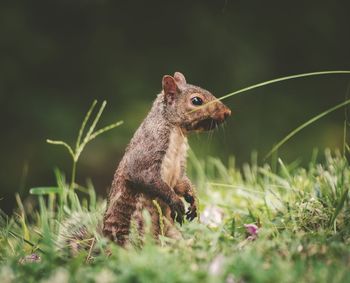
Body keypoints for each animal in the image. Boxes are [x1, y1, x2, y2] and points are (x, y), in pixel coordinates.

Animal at [102, 72, 231, 246]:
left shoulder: (180, 165)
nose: (227, 112)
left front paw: (194, 201)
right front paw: (176, 202)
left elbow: (181, 182)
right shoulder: (148, 149)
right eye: (196, 101)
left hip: (171, 232)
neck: (177, 132)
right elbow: (144, 176)